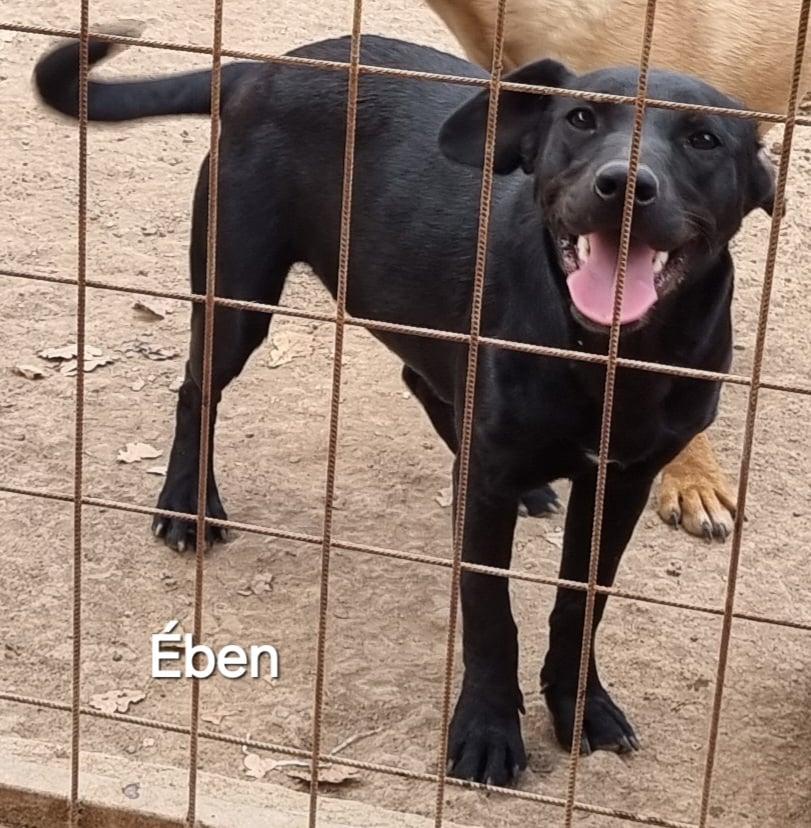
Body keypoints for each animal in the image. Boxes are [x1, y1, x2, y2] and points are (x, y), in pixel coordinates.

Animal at [35, 34, 773, 783]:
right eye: (581, 120)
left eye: (703, 139)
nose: (622, 186)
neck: (606, 352)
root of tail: (264, 68)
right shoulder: (490, 491)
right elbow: (489, 611)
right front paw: (487, 730)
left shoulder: (621, 485)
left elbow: (581, 603)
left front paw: (580, 706)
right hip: (236, 294)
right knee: (196, 391)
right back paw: (187, 506)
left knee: (422, 384)